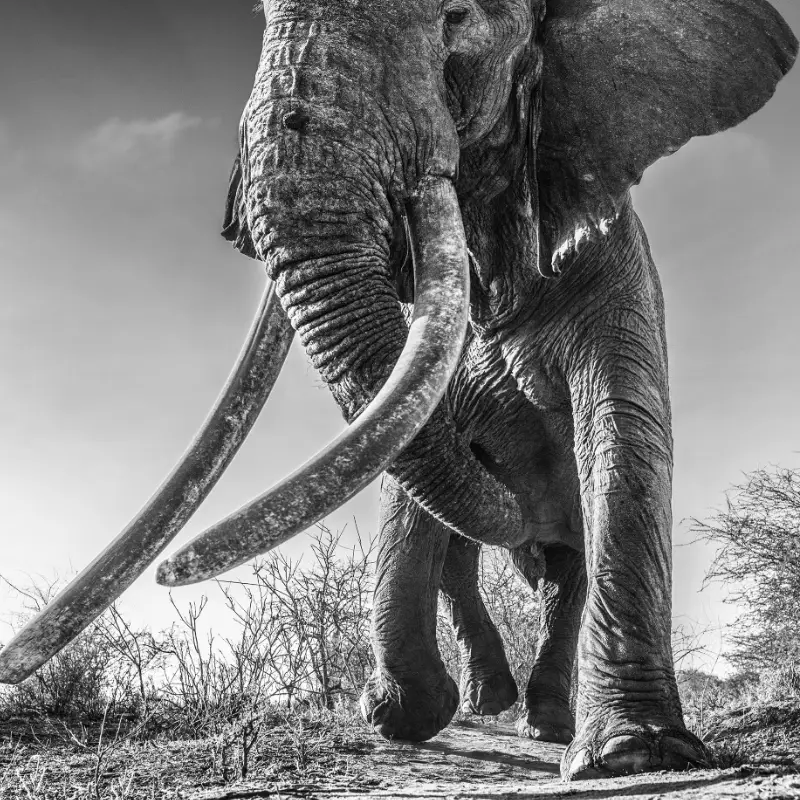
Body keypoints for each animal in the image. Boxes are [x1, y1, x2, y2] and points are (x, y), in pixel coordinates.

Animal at [0, 0, 796, 782]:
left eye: (458, 15)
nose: (171, 569)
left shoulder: (619, 270)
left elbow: (619, 429)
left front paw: (636, 754)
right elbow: (406, 447)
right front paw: (399, 716)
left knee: (560, 566)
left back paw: (545, 722)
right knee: (470, 552)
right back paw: (494, 701)